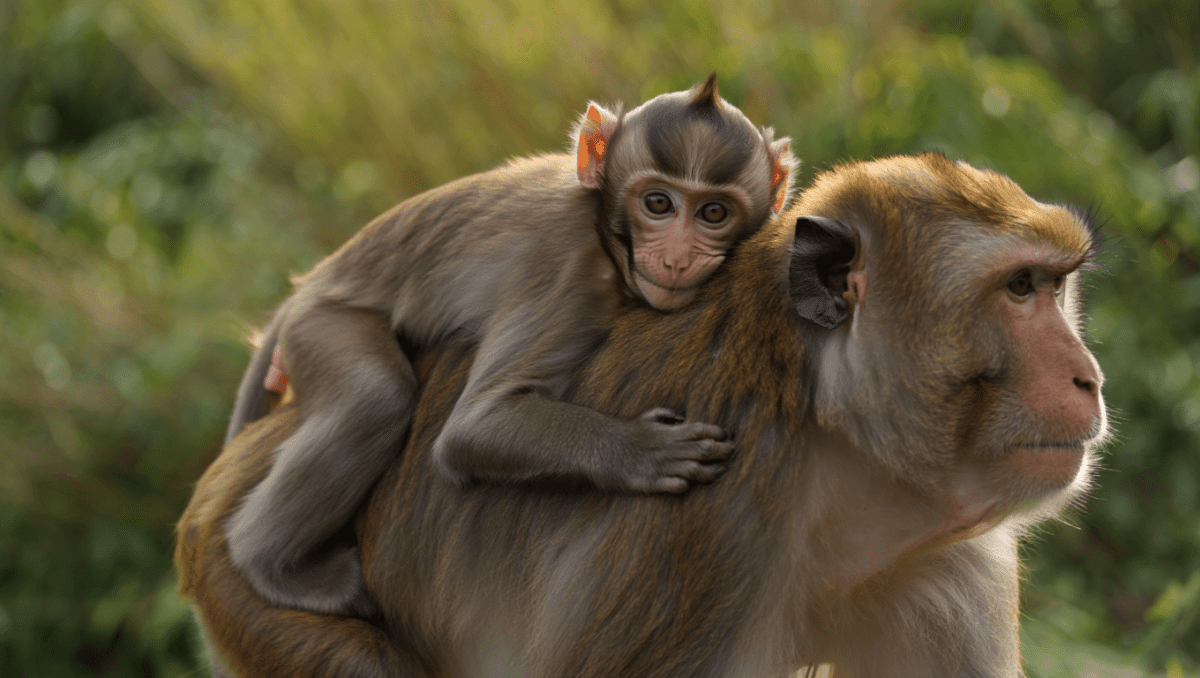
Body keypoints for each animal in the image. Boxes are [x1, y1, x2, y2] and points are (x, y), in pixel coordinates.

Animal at [177, 151, 1109, 677]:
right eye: (1018, 289)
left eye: (1054, 286)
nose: (1088, 379)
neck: (832, 445)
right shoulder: (707, 528)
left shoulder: (949, 563)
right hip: (248, 593)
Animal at [221, 74, 798, 617]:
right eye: (658, 203)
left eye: (713, 214)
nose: (677, 259)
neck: (604, 237)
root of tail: (311, 283)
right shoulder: (565, 268)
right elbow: (478, 425)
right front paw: (641, 449)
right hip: (320, 325)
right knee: (373, 397)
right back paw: (273, 568)